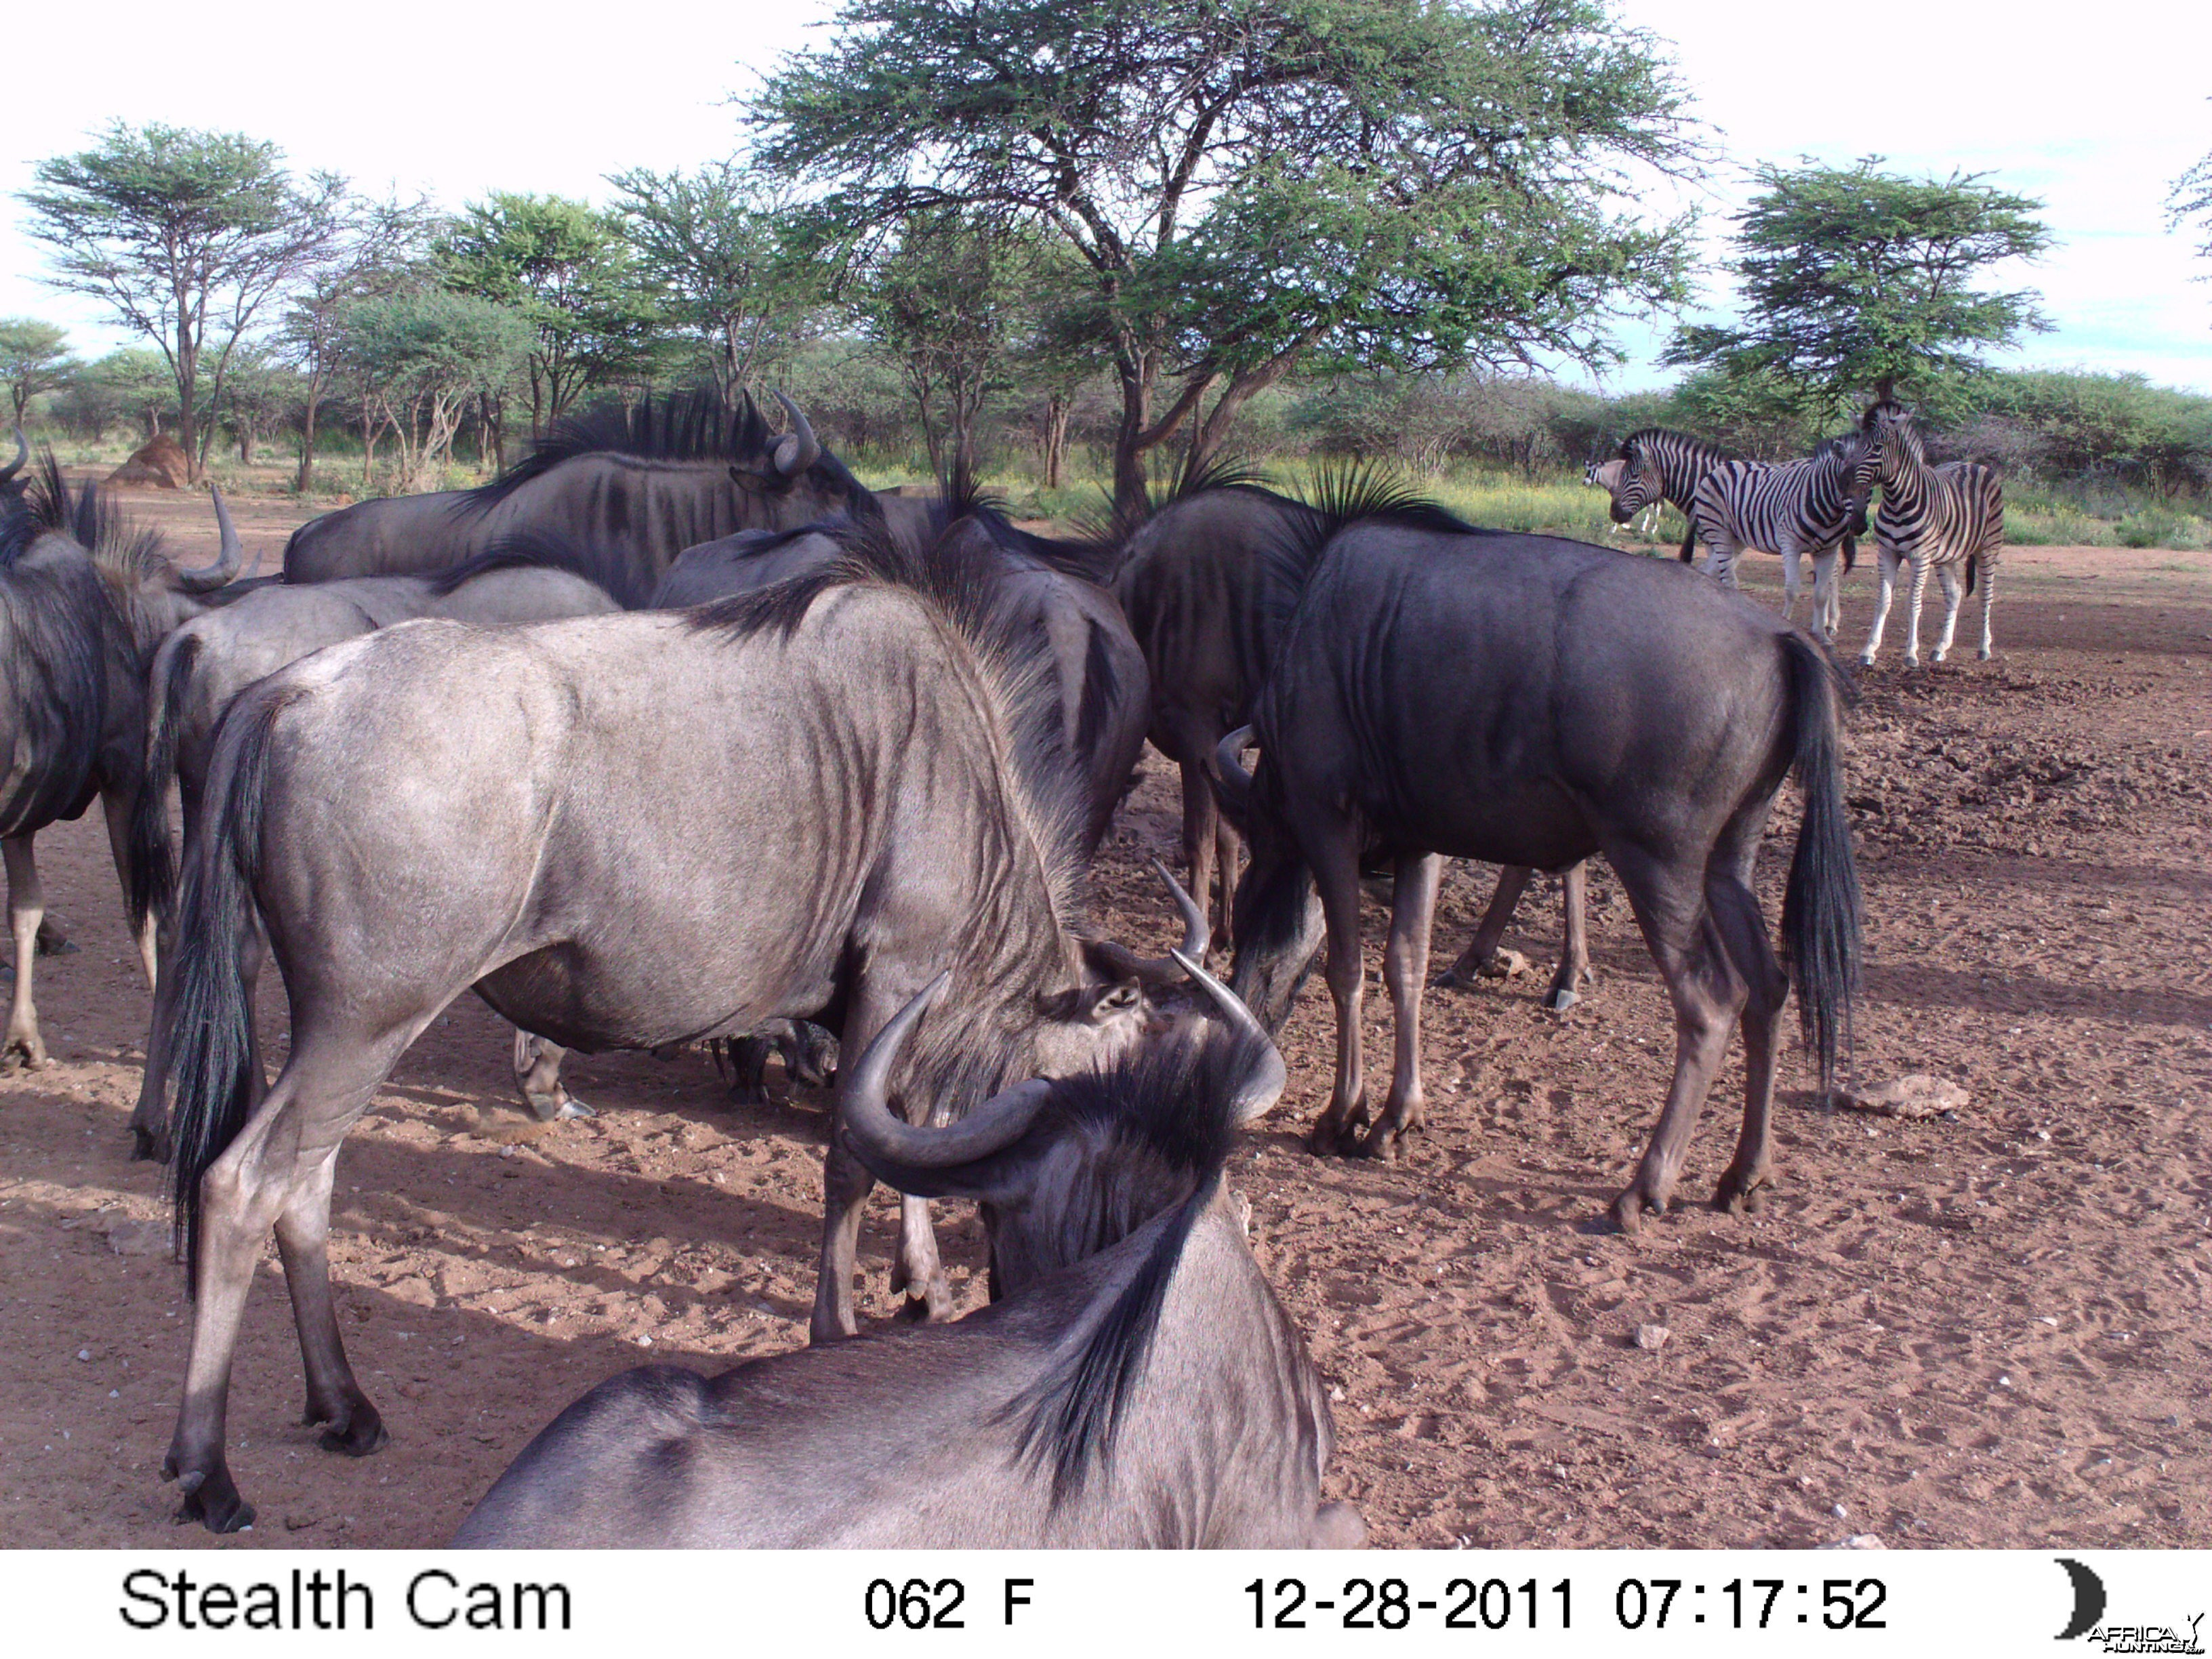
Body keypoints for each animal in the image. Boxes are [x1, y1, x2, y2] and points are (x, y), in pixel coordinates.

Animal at [1681, 431, 1875, 646]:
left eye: (1871, 486)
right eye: (1844, 482)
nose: (1859, 526)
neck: (1829, 510)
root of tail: (1723, 467)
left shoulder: (1828, 550)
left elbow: (1821, 594)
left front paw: (1821, 636)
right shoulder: (1790, 545)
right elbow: (1792, 590)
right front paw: (1786, 623)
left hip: (1736, 539)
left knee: (1707, 571)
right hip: (1719, 531)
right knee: (1728, 581)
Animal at [1849, 400, 2008, 668]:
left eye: (1878, 447)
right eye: (1858, 443)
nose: (1846, 483)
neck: (1897, 502)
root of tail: (1972, 464)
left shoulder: (1920, 557)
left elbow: (1913, 603)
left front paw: (1911, 654)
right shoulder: (1887, 553)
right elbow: (1883, 601)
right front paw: (1868, 650)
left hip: (1988, 547)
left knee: (1986, 596)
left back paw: (1984, 648)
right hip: (1947, 556)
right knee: (1954, 595)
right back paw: (1940, 648)